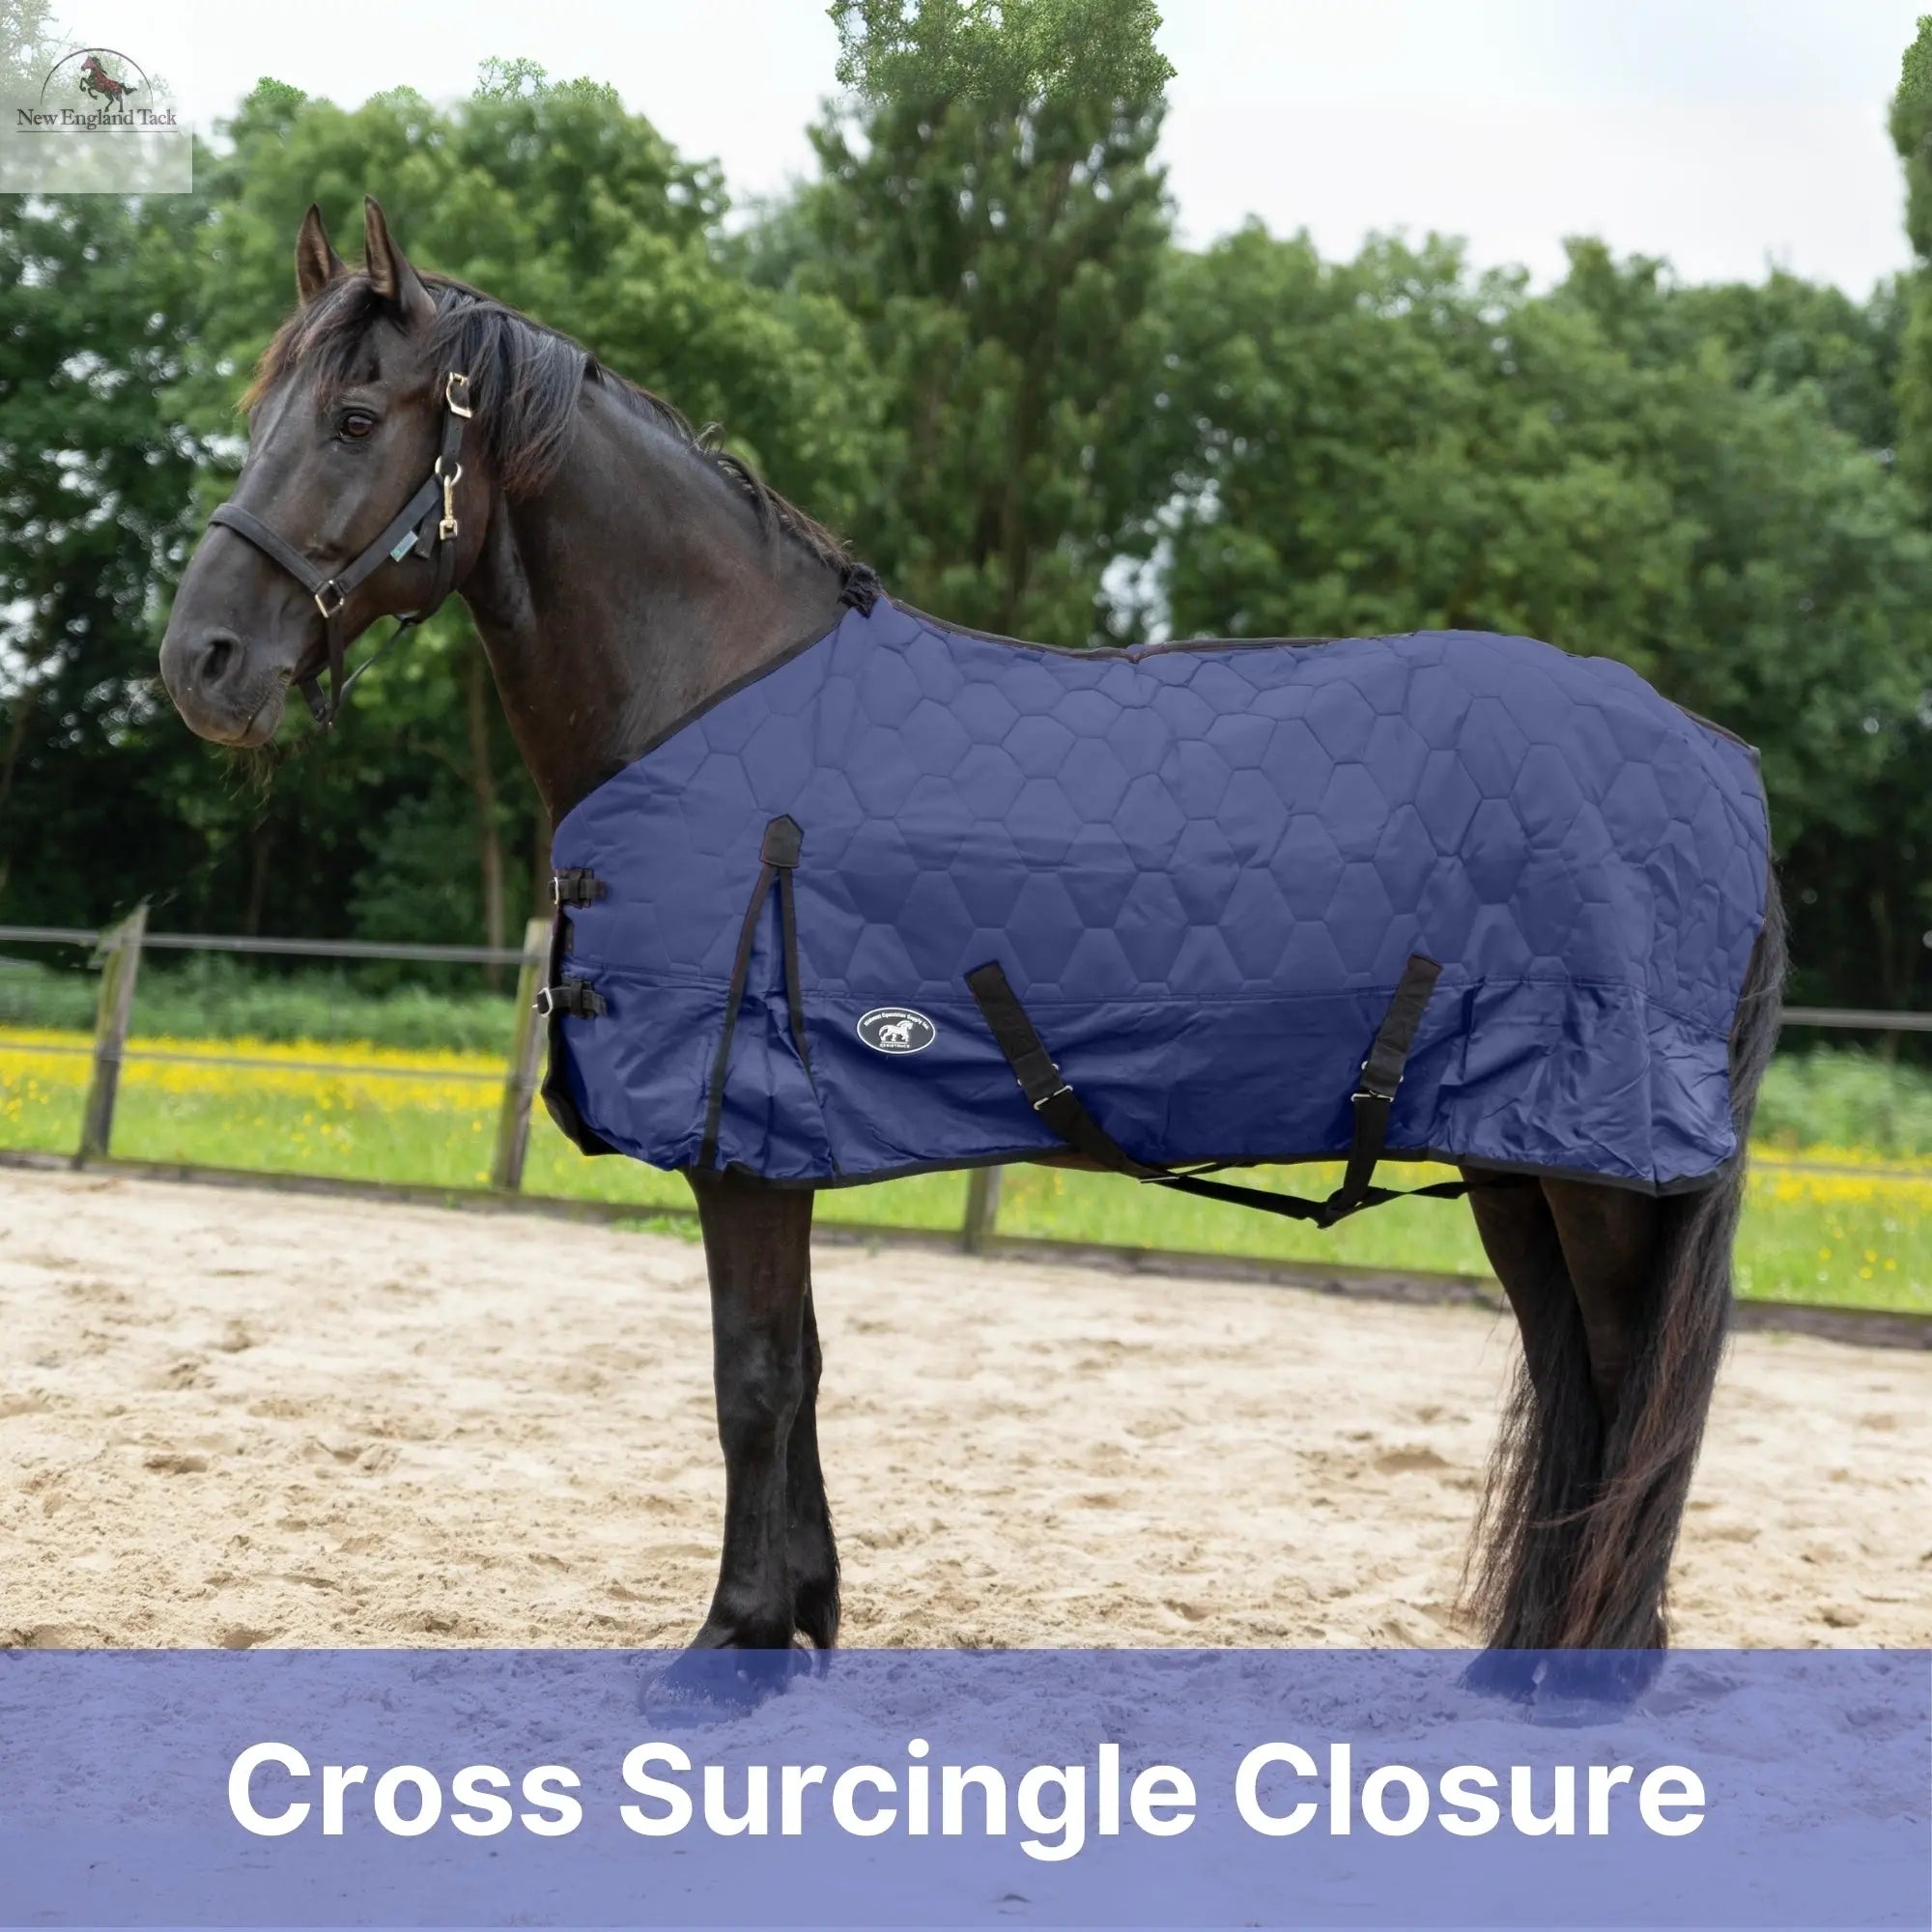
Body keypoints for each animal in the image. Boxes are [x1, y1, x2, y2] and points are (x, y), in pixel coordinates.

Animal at [158, 200, 1784, 1709]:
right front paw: (803, 1614)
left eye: (355, 420)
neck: (717, 701)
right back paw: (1521, 1665)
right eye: (261, 413)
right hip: (1520, 1166)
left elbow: (752, 1379)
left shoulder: (742, 1142)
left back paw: (1592, 1678)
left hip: (1600, 1175)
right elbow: (805, 1368)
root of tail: (1711, 759)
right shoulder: (785, 1141)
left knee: (1629, 1384)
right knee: (1576, 1385)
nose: (202, 667)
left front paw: (734, 1643)